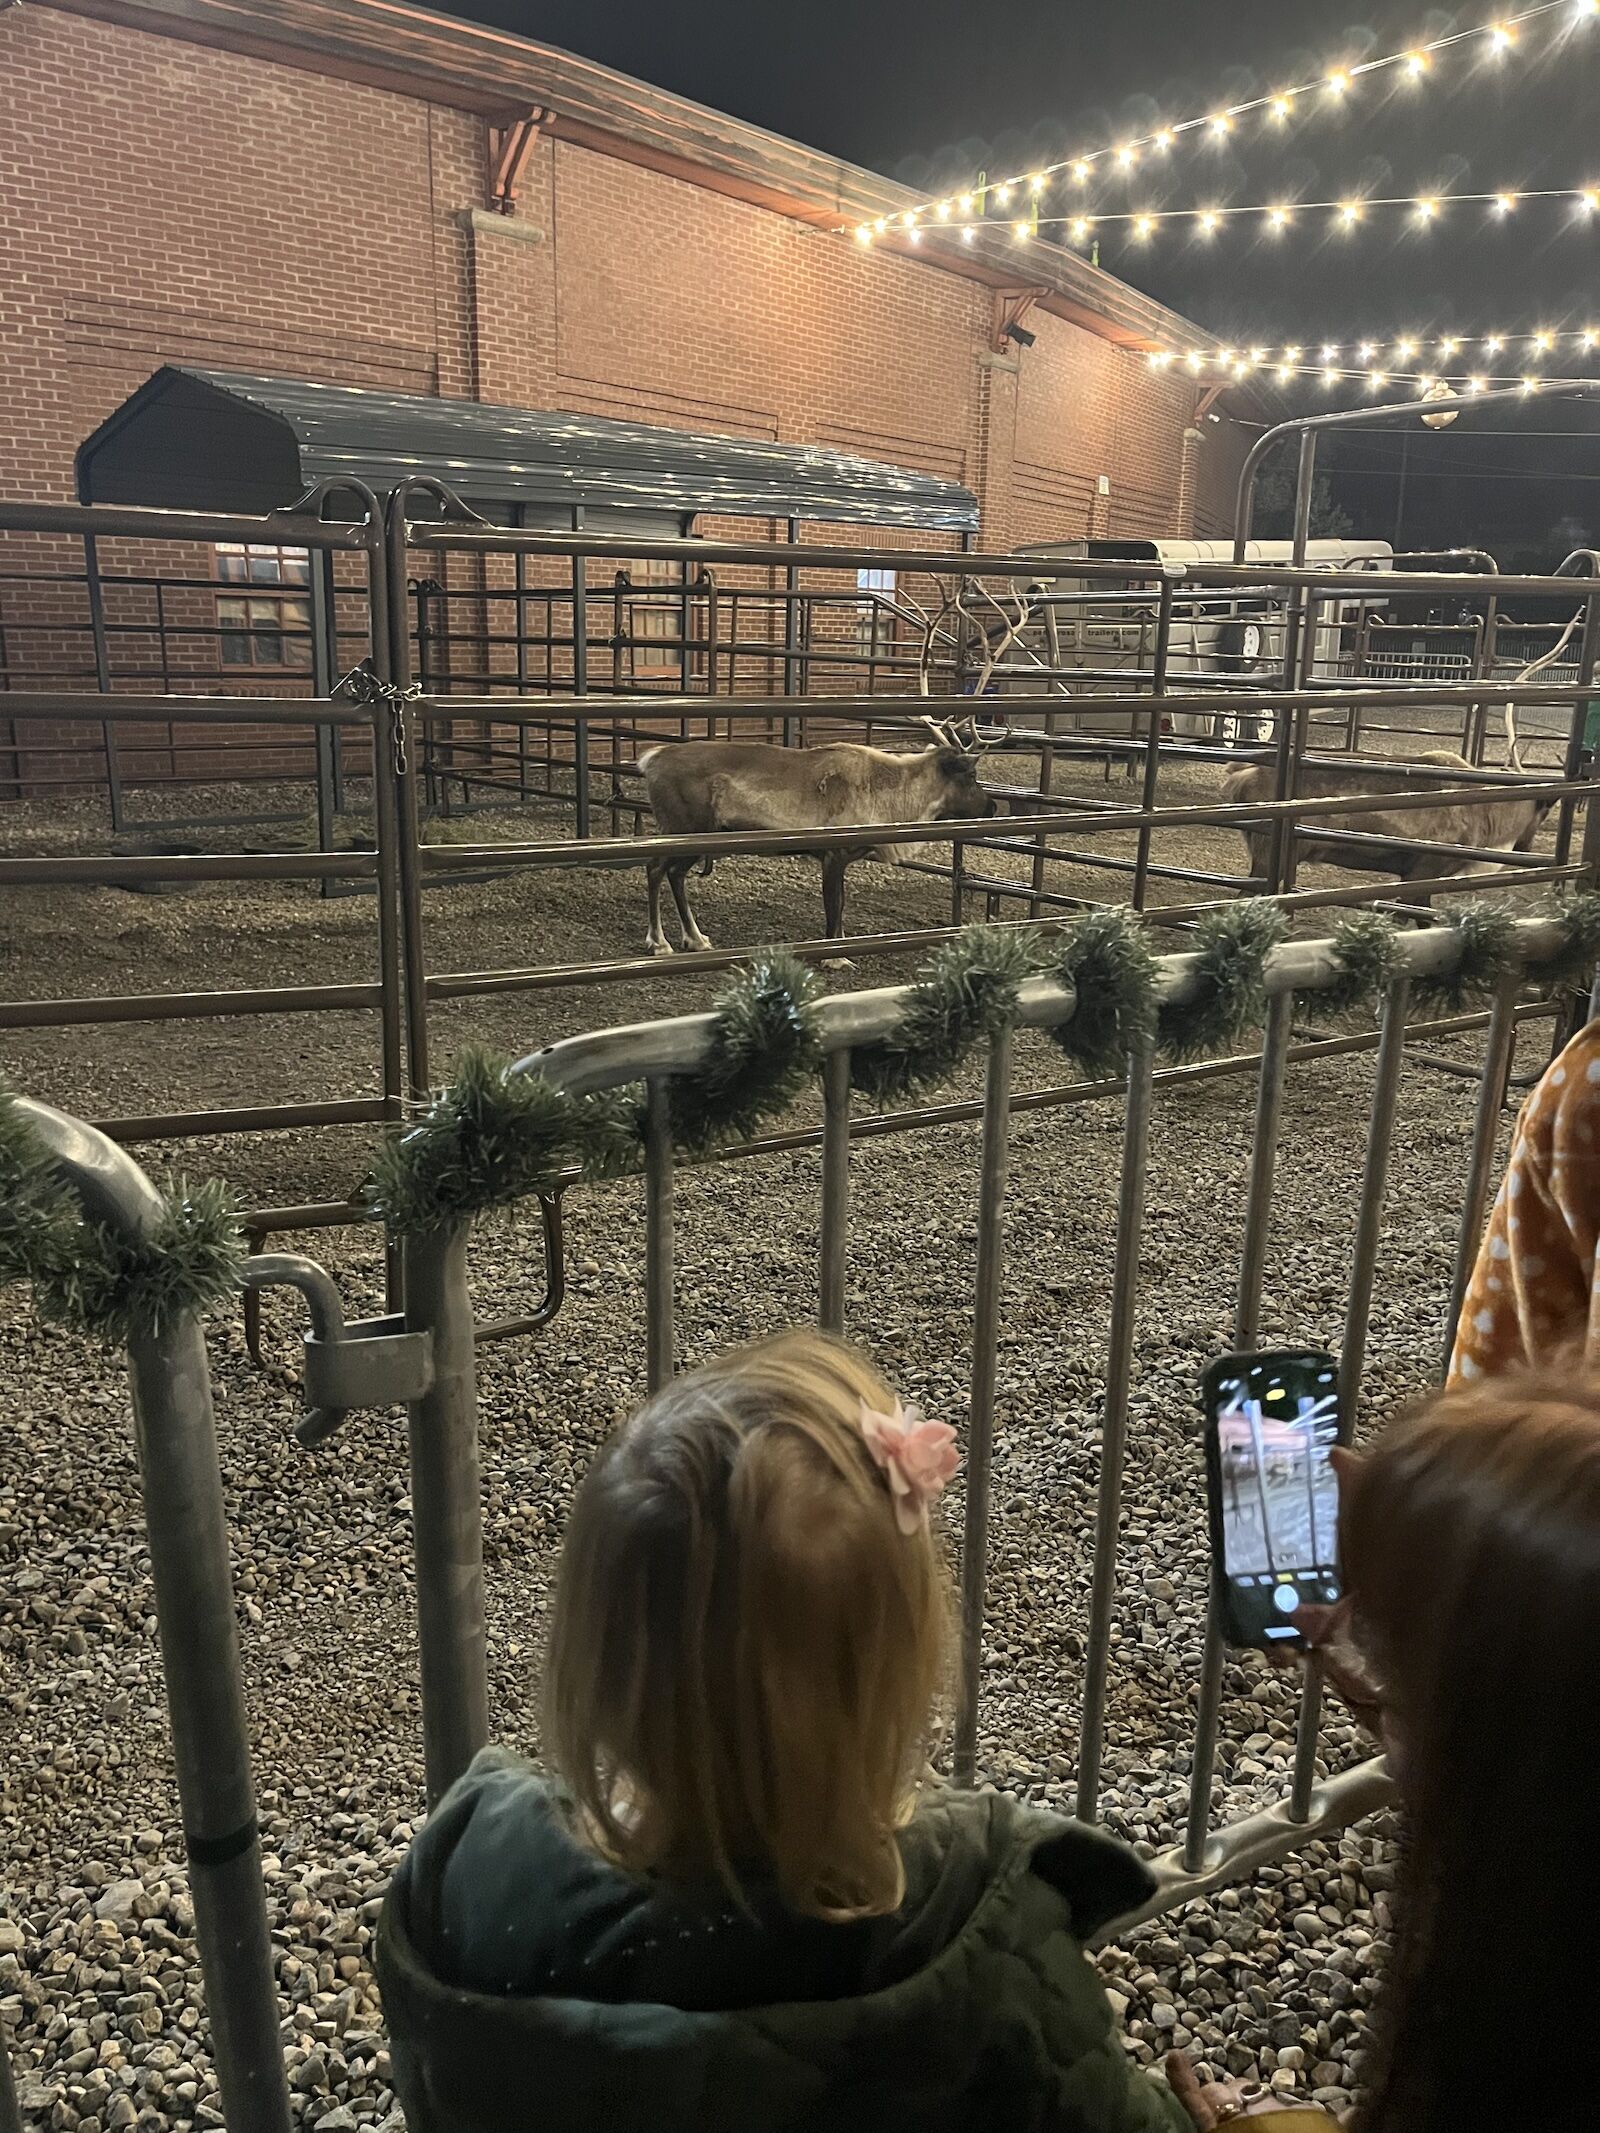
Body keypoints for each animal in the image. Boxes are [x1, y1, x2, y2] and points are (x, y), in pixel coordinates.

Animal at [644, 725, 1002, 951]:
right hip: (682, 828)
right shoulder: (834, 853)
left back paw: (695, 938)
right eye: (971, 774)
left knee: (674, 873)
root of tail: (652, 759)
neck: (893, 796)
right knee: (655, 869)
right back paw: (659, 943)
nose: (993, 806)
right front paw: (836, 955)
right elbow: (835, 903)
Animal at [1228, 755, 1553, 887]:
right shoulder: (1423, 871)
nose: (1526, 847)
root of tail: (1241, 777)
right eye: (1545, 811)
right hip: (1272, 855)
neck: (1487, 815)